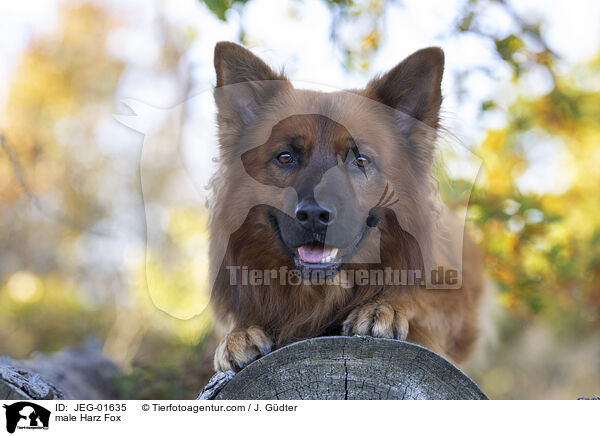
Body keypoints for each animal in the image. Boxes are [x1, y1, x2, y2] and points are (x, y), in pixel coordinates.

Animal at [209, 41, 480, 372]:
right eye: (285, 157)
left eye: (360, 160)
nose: (314, 215)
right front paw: (241, 331)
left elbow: (422, 299)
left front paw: (385, 305)